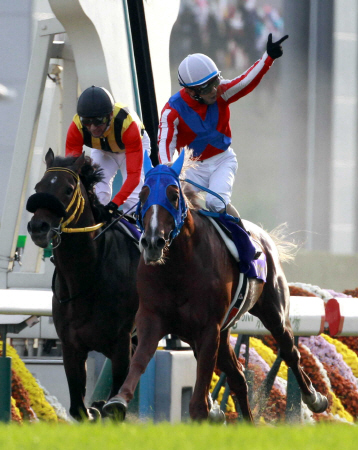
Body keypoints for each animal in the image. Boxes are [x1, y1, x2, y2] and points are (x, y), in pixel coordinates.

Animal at [26, 150, 140, 422]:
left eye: (68, 190)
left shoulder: (120, 343)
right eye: (38, 188)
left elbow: (115, 407)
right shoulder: (71, 345)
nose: (38, 228)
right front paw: (93, 408)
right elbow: (78, 408)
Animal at [102, 150, 328, 422]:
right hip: (222, 331)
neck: (178, 268)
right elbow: (140, 359)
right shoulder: (152, 317)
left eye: (173, 194)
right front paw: (117, 401)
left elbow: (199, 399)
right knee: (238, 376)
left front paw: (207, 412)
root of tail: (264, 236)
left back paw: (315, 399)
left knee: (289, 351)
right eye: (144, 194)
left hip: (273, 311)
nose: (153, 242)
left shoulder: (209, 327)